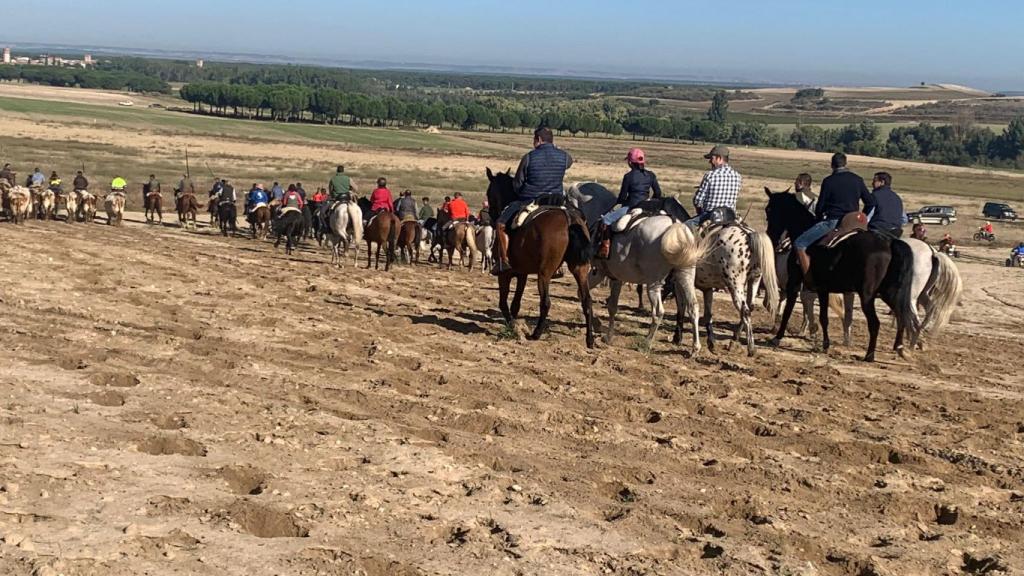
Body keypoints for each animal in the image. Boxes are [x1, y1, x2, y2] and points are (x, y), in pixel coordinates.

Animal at [483, 166, 598, 344]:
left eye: (489, 193)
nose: (492, 216)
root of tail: (569, 218)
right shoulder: (522, 273)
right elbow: (516, 303)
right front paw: (514, 325)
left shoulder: (505, 274)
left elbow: (503, 303)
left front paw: (512, 326)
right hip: (580, 269)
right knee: (587, 300)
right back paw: (590, 340)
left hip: (544, 273)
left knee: (546, 302)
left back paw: (536, 334)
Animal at [589, 210, 708, 344]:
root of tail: (675, 228)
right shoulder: (616, 278)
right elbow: (612, 307)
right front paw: (608, 336)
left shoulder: (600, 272)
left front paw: (597, 325)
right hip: (686, 274)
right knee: (693, 306)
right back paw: (695, 346)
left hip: (653, 283)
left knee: (658, 311)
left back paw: (647, 342)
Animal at [765, 188, 917, 358]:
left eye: (769, 209)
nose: (771, 236)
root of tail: (889, 243)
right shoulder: (823, 289)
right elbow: (823, 317)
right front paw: (825, 344)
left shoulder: (795, 284)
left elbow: (789, 310)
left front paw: (778, 337)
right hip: (888, 292)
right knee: (901, 315)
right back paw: (899, 348)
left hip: (867, 295)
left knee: (875, 323)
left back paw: (869, 355)